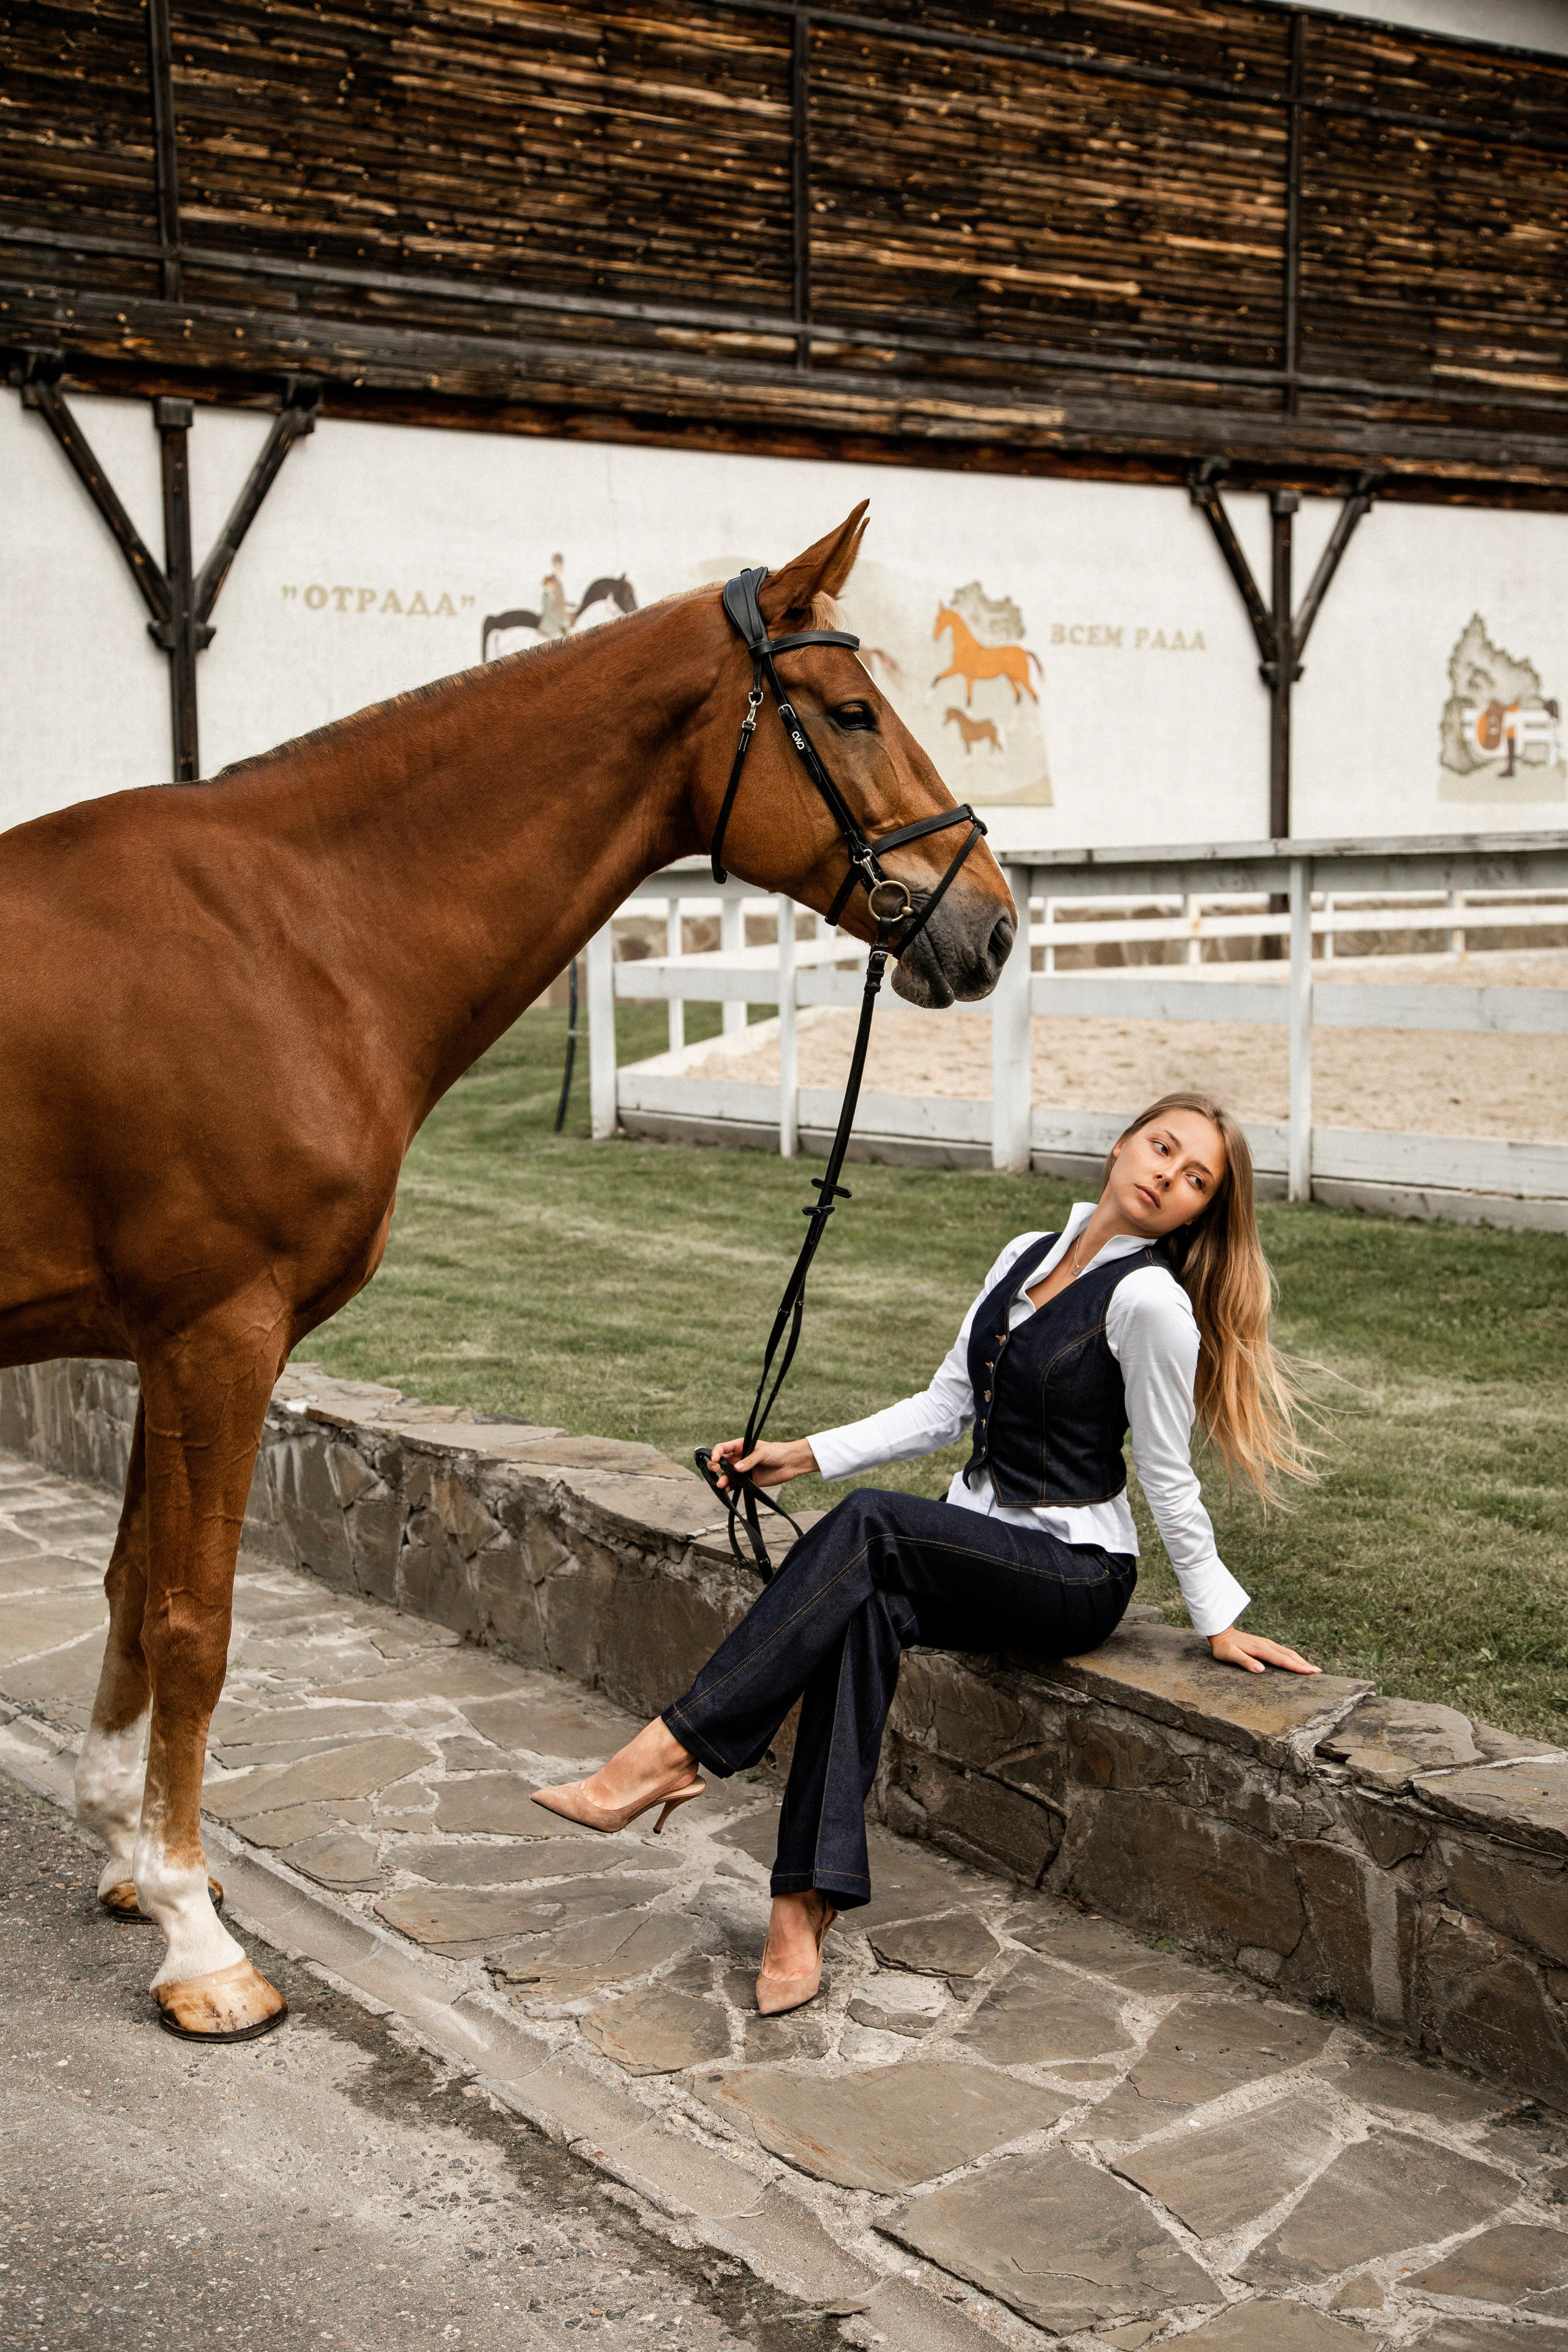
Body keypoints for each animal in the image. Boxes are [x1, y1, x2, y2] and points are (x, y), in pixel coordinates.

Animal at [0, 505, 1015, 2043]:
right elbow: (194, 1621)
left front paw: (128, 1857)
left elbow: (130, 1590)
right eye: (849, 712)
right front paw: (196, 1938)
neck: (283, 937)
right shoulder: (218, 1335)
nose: (993, 924)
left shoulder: (156, 1341)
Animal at [933, 607, 1041, 707]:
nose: (935, 637)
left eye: (938, 619)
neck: (966, 647)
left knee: (1035, 696)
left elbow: (968, 701)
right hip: (1012, 678)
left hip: (1023, 678)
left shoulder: (958, 670)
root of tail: (1025, 652)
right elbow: (937, 680)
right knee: (1019, 696)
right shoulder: (966, 676)